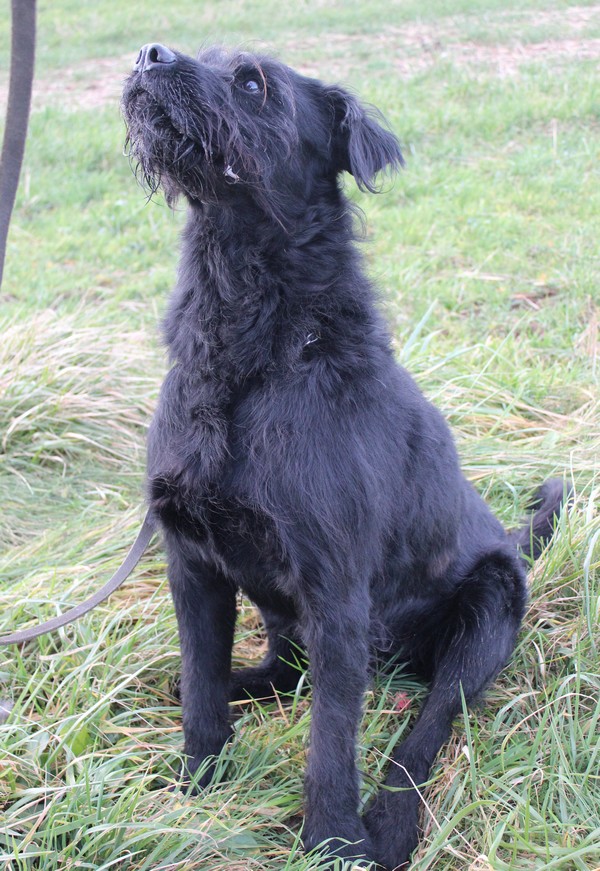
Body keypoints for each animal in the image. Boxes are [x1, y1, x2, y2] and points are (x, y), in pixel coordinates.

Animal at [123, 47, 568, 871]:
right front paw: (198, 781)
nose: (150, 55)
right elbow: (201, 686)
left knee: (426, 725)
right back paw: (241, 683)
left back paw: (389, 820)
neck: (251, 352)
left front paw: (332, 840)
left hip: (486, 609)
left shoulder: (336, 593)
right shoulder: (193, 565)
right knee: (278, 671)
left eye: (254, 81)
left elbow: (332, 739)